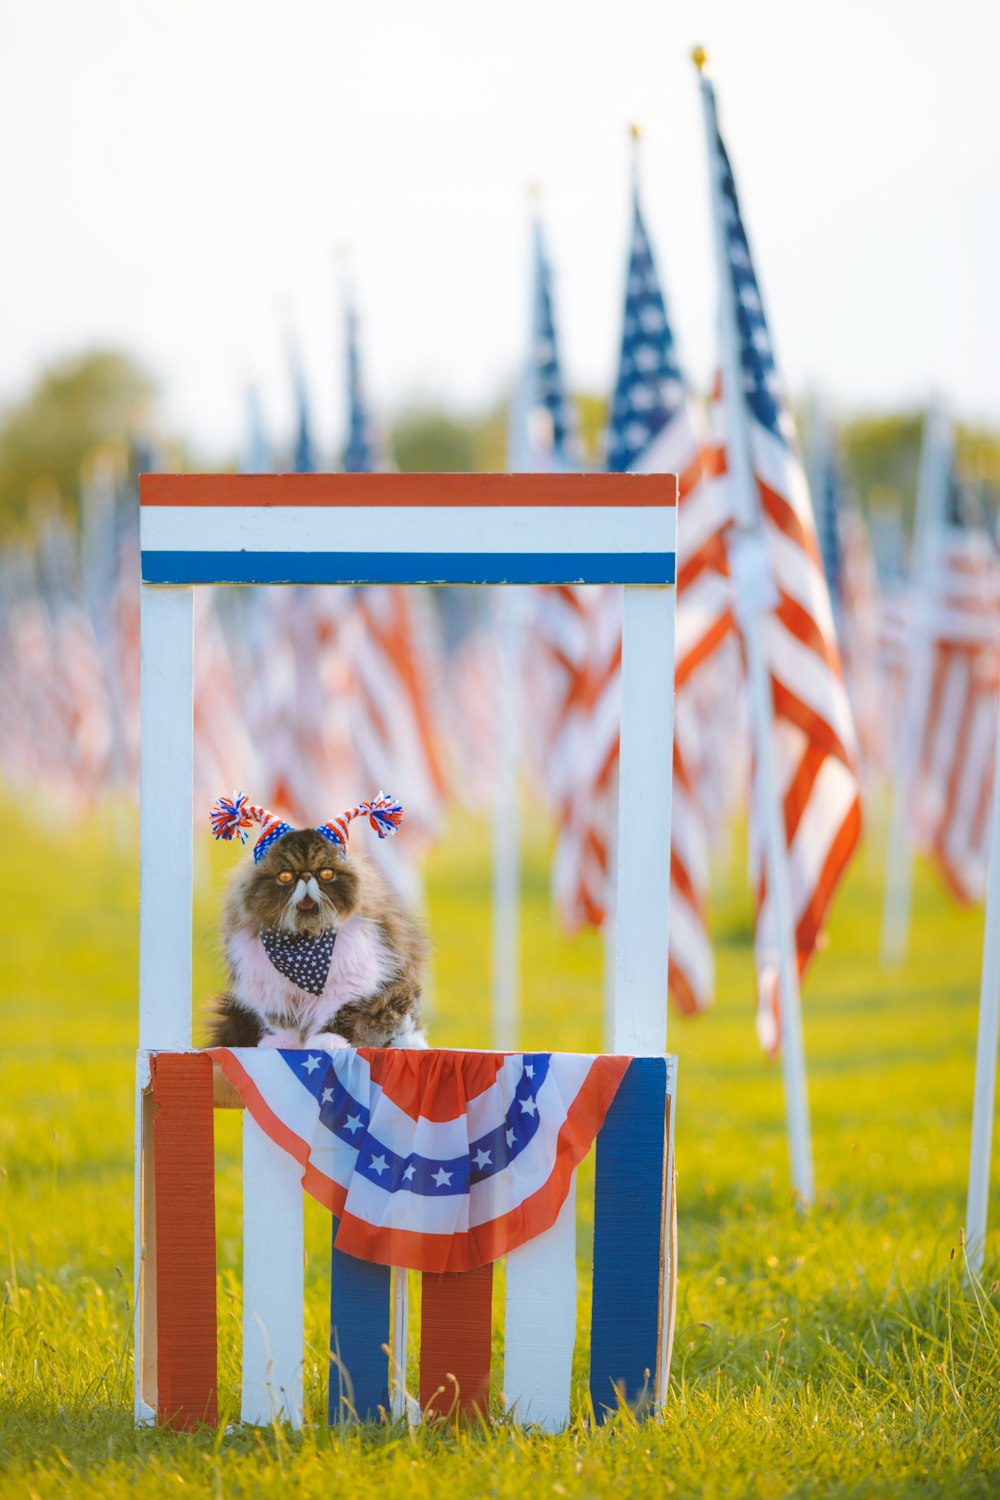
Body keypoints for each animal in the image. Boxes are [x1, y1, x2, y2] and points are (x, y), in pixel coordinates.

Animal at [206, 822, 431, 1056]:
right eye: (285, 876)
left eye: (325, 873)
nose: (306, 876)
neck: (303, 940)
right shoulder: (269, 990)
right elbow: (282, 1024)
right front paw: (281, 1044)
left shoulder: (352, 984)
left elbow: (334, 1018)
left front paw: (328, 1042)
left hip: (398, 997)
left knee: (404, 1027)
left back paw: (409, 1045)